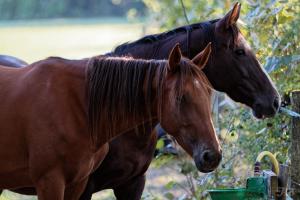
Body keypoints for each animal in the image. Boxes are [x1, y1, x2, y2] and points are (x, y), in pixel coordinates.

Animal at [0, 44, 220, 199]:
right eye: (181, 98)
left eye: (208, 93)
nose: (212, 156)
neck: (78, 105)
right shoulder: (50, 182)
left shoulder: (78, 184)